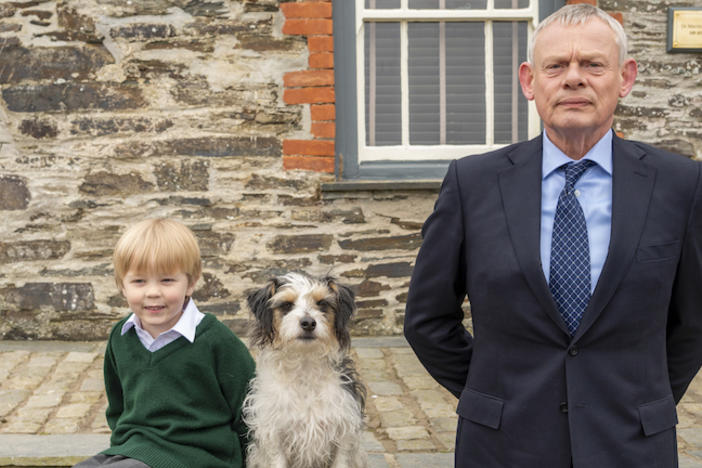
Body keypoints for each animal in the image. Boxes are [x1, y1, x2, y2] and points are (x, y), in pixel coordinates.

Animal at [243, 270, 368, 468]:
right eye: (286, 305)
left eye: (322, 303)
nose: (308, 323)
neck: (305, 364)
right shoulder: (274, 433)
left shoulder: (344, 431)